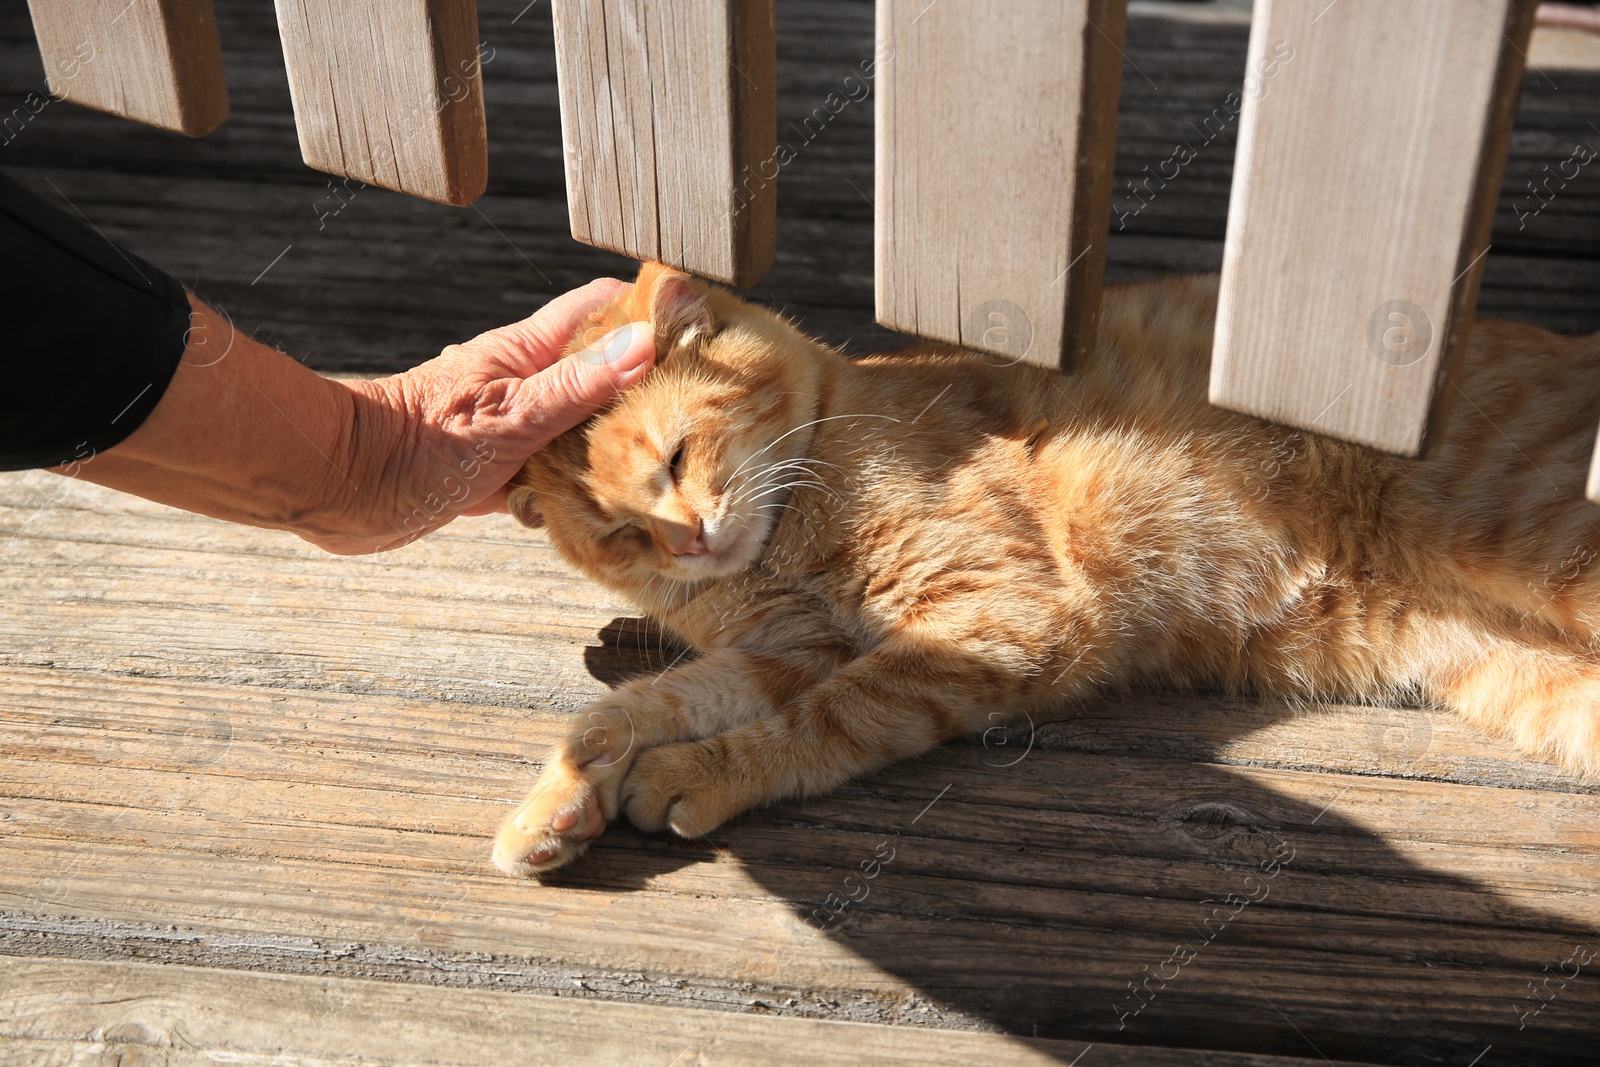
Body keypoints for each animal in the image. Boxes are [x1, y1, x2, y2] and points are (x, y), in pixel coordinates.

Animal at [492, 265, 1593, 876]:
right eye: (618, 533)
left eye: (677, 458)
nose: (685, 540)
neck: (782, 544)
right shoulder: (785, 650)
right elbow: (629, 706)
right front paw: (558, 804)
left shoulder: (995, 617)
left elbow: (820, 722)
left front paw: (697, 772)